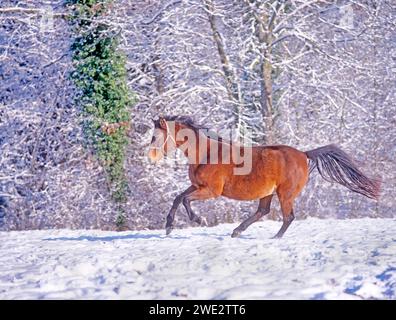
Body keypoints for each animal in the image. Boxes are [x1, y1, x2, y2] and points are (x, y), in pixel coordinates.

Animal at [147, 116, 378, 239]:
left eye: (155, 136)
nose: (151, 157)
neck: (206, 153)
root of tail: (304, 154)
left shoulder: (211, 191)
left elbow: (185, 200)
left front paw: (199, 220)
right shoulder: (197, 185)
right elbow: (178, 198)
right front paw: (168, 227)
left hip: (285, 194)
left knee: (288, 217)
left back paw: (274, 237)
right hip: (267, 192)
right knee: (263, 211)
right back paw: (237, 231)